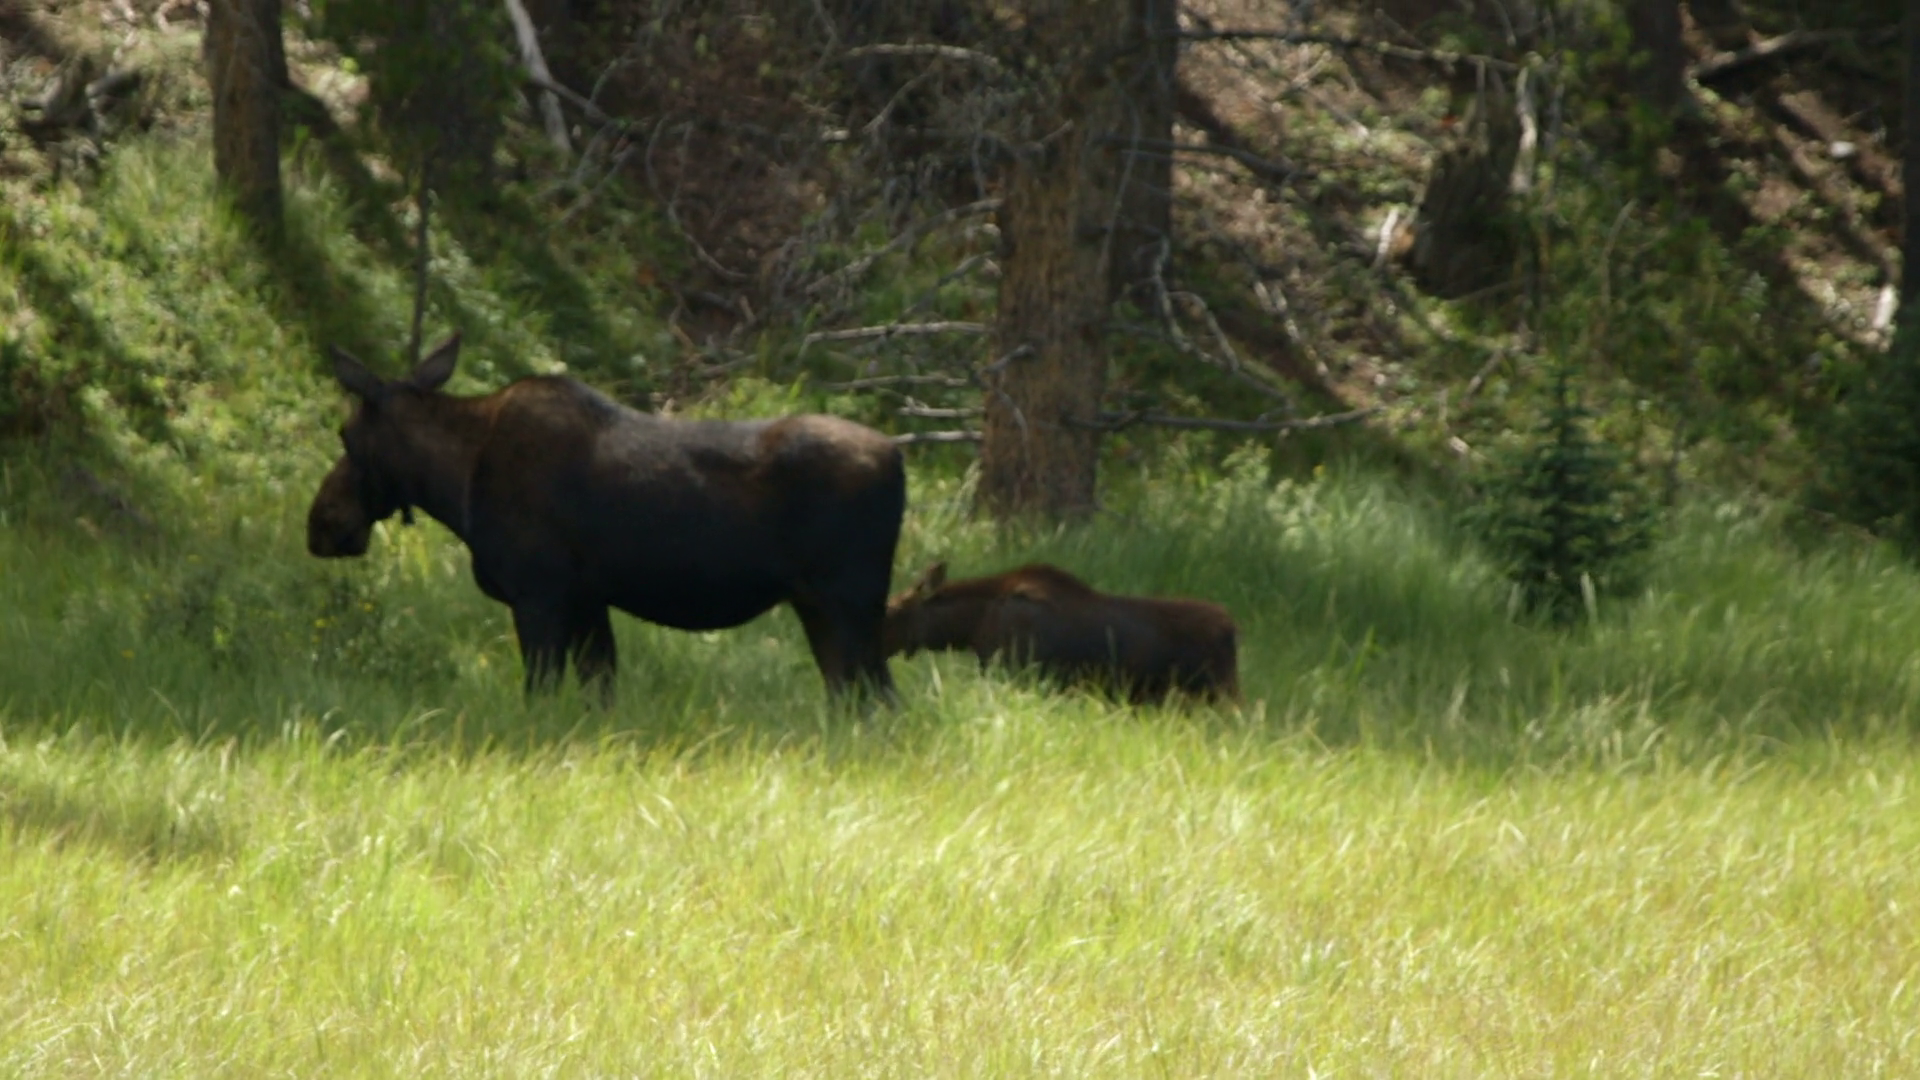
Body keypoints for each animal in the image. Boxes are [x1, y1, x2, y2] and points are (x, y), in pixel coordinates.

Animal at [307, 333, 906, 702]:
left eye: (346, 434)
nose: (321, 523)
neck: (455, 486)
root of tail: (897, 460)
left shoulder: (539, 593)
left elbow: (541, 694)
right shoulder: (588, 601)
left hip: (850, 603)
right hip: (821, 607)